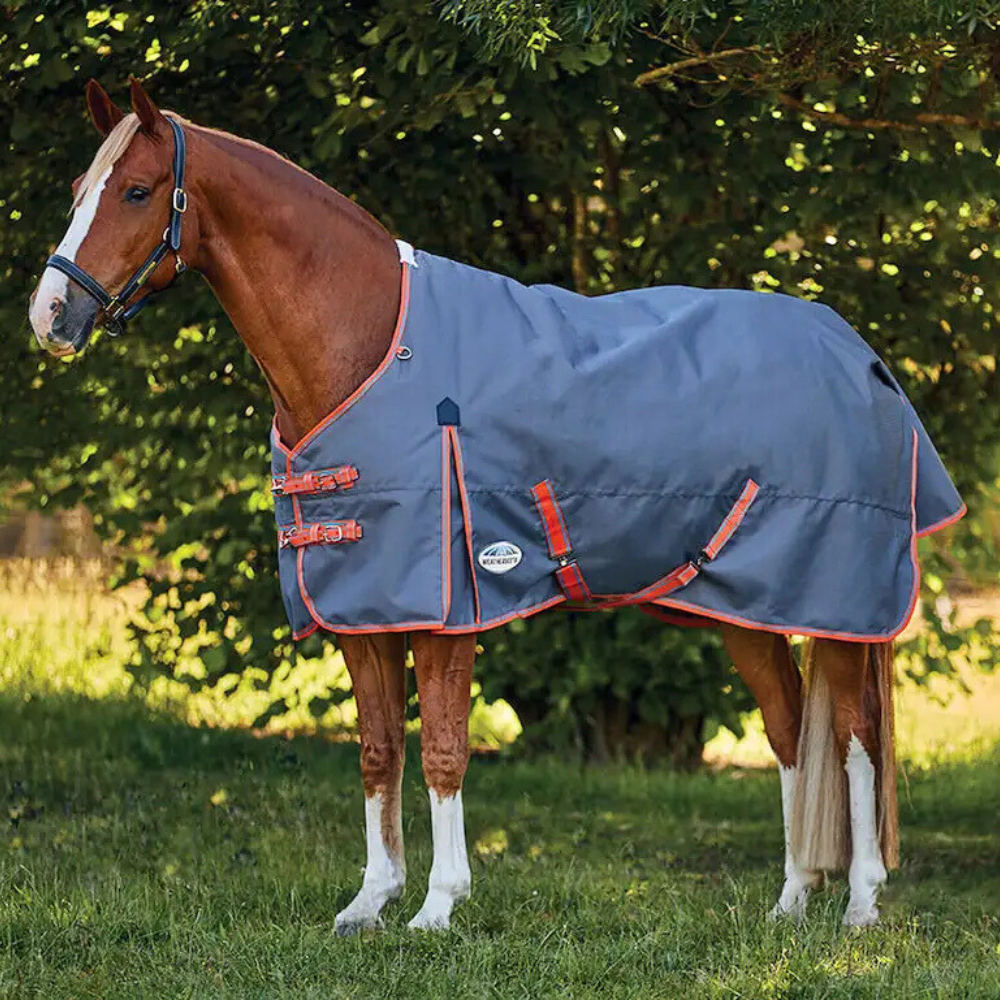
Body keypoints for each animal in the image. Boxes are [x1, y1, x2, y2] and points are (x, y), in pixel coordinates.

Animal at [28, 78, 965, 933]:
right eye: (77, 190)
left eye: (136, 191)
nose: (50, 314)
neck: (369, 347)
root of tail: (858, 353)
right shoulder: (364, 609)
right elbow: (378, 751)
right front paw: (369, 903)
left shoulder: (449, 609)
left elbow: (444, 751)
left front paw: (438, 907)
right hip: (745, 606)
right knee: (788, 731)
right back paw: (791, 901)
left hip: (839, 607)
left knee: (853, 740)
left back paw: (860, 904)